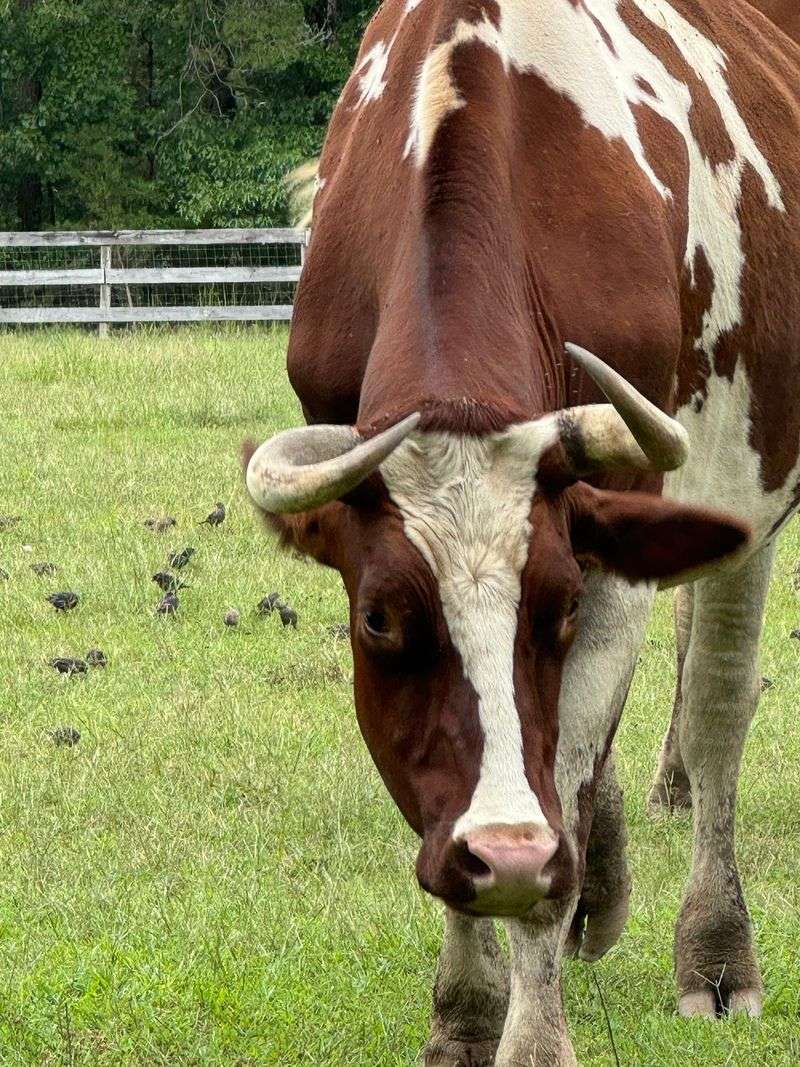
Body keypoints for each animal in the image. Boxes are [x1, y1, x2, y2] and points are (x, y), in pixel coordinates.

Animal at [244, 2, 800, 1063]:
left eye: (561, 605)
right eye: (379, 619)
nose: (505, 855)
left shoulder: (617, 550)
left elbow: (569, 791)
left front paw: (532, 1026)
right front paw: (465, 1010)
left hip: (752, 468)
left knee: (714, 703)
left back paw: (713, 948)